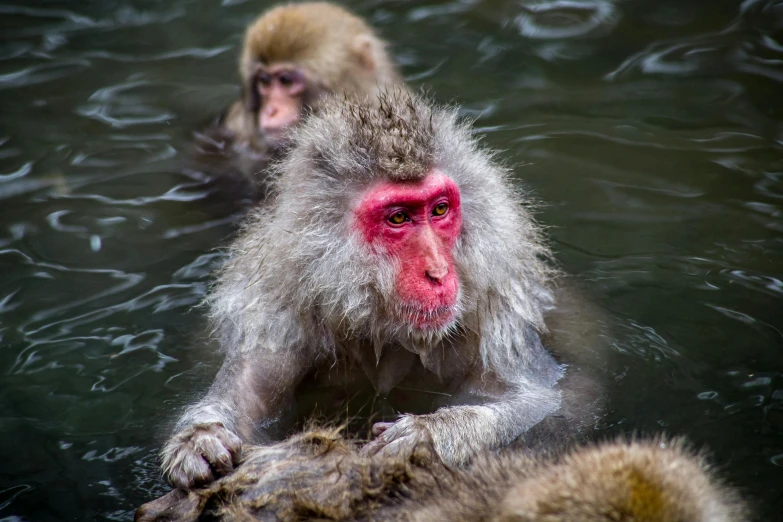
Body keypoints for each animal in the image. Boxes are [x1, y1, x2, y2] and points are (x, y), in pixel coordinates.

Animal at [161, 90, 608, 488]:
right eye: (398, 218)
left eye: (439, 209)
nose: (438, 271)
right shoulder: (279, 308)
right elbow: (249, 393)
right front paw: (200, 439)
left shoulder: (493, 306)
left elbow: (545, 400)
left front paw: (433, 436)